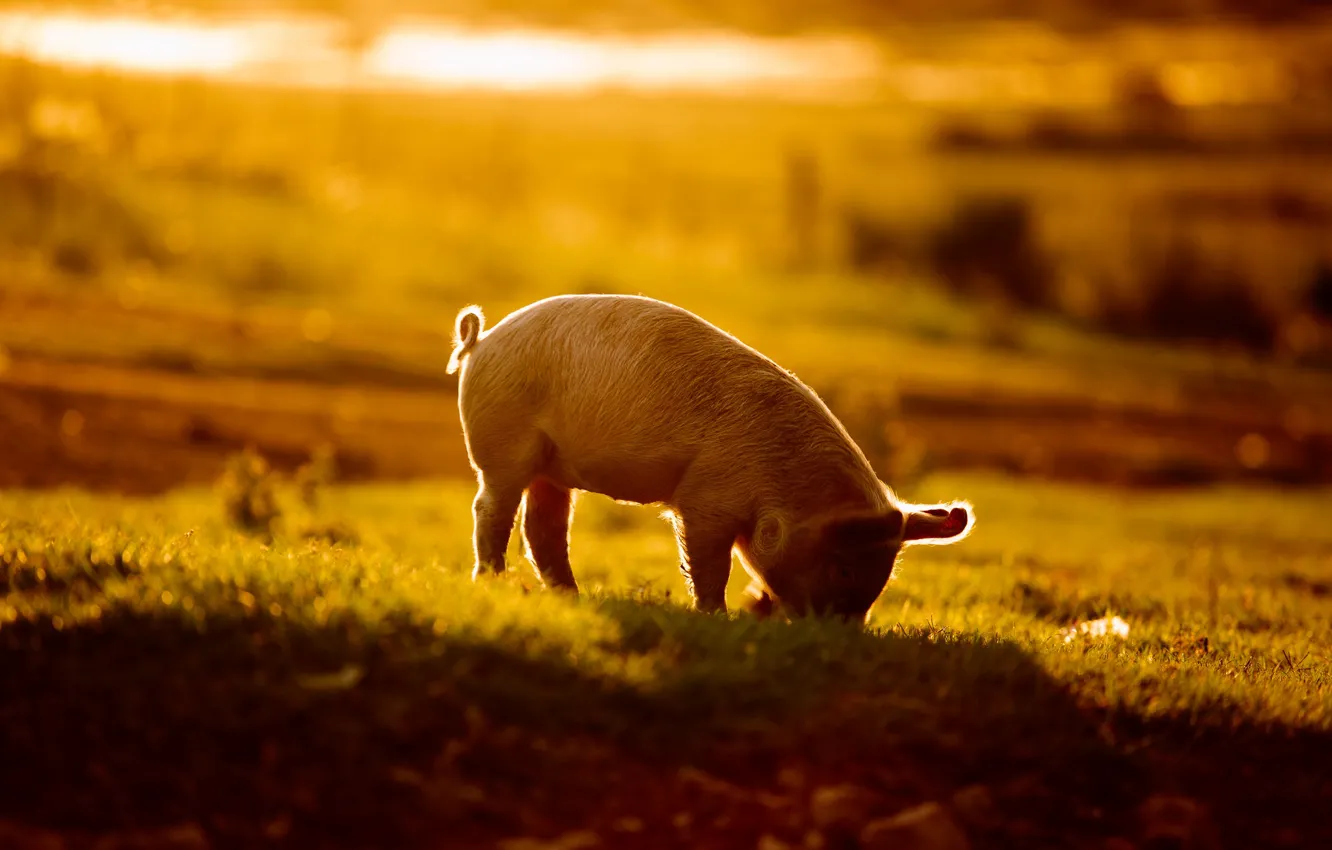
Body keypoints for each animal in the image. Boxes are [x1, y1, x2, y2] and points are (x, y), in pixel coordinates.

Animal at [446, 294, 974, 622]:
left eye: (882, 577)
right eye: (843, 568)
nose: (840, 634)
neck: (780, 480)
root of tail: (481, 341)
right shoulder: (706, 498)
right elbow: (708, 562)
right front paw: (716, 615)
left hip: (552, 469)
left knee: (544, 527)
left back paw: (571, 596)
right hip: (503, 443)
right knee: (490, 508)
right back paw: (491, 582)